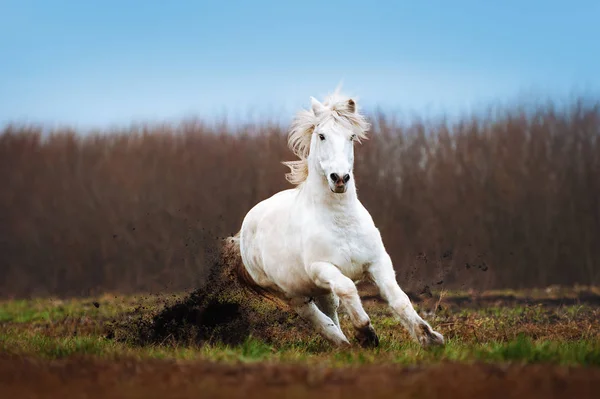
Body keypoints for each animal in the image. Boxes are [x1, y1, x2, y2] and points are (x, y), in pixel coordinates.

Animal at [223, 89, 442, 348]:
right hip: (290, 292)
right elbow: (348, 289)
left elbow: (399, 299)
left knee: (331, 310)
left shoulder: (378, 261)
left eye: (351, 136)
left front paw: (430, 338)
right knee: (316, 317)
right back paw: (344, 343)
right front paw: (367, 334)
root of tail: (245, 228)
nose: (340, 178)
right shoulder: (322, 268)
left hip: (320, 289)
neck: (341, 220)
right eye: (322, 136)